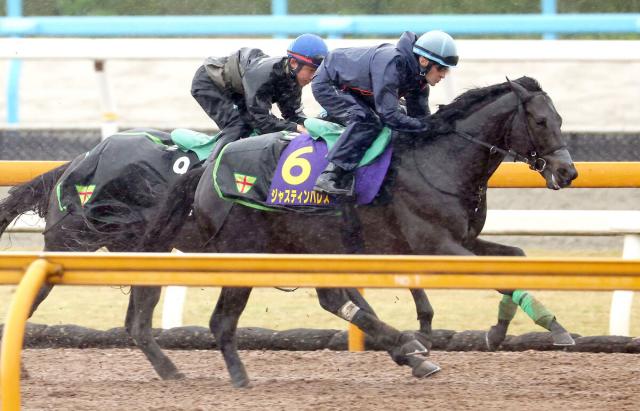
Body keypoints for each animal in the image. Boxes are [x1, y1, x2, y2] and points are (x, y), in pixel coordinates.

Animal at [139, 77, 580, 390]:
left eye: (561, 120)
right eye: (541, 121)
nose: (567, 172)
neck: (439, 160)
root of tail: (207, 166)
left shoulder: (464, 240)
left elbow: (516, 260)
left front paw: (501, 330)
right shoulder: (437, 245)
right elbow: (498, 276)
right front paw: (556, 331)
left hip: (308, 247)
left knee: (333, 299)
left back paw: (411, 352)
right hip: (248, 253)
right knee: (222, 321)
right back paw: (240, 378)